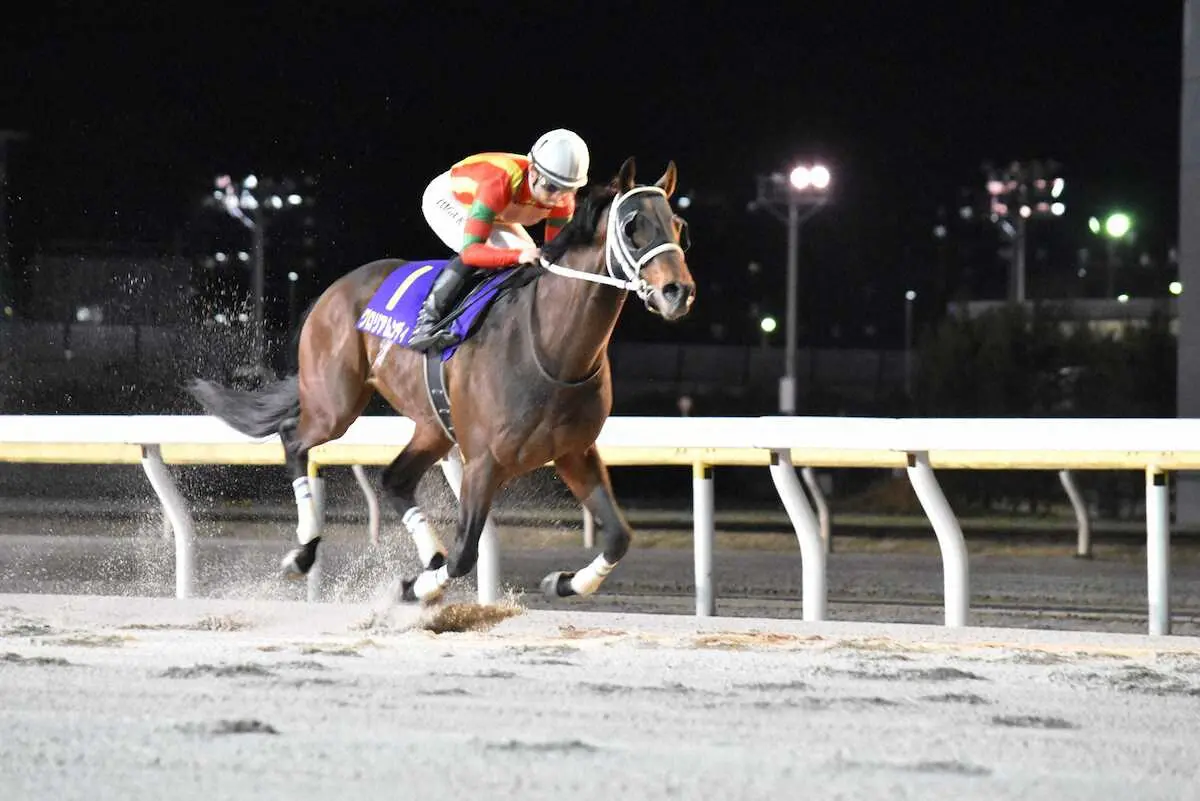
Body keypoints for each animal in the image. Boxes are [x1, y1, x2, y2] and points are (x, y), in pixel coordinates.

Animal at [187, 157, 695, 605]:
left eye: (678, 226)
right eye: (631, 226)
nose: (678, 292)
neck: (551, 348)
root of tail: (335, 289)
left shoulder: (575, 453)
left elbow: (618, 536)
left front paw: (563, 582)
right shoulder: (483, 462)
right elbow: (466, 552)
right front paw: (415, 587)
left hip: (432, 423)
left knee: (394, 478)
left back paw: (426, 553)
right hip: (335, 403)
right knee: (294, 438)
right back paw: (304, 552)